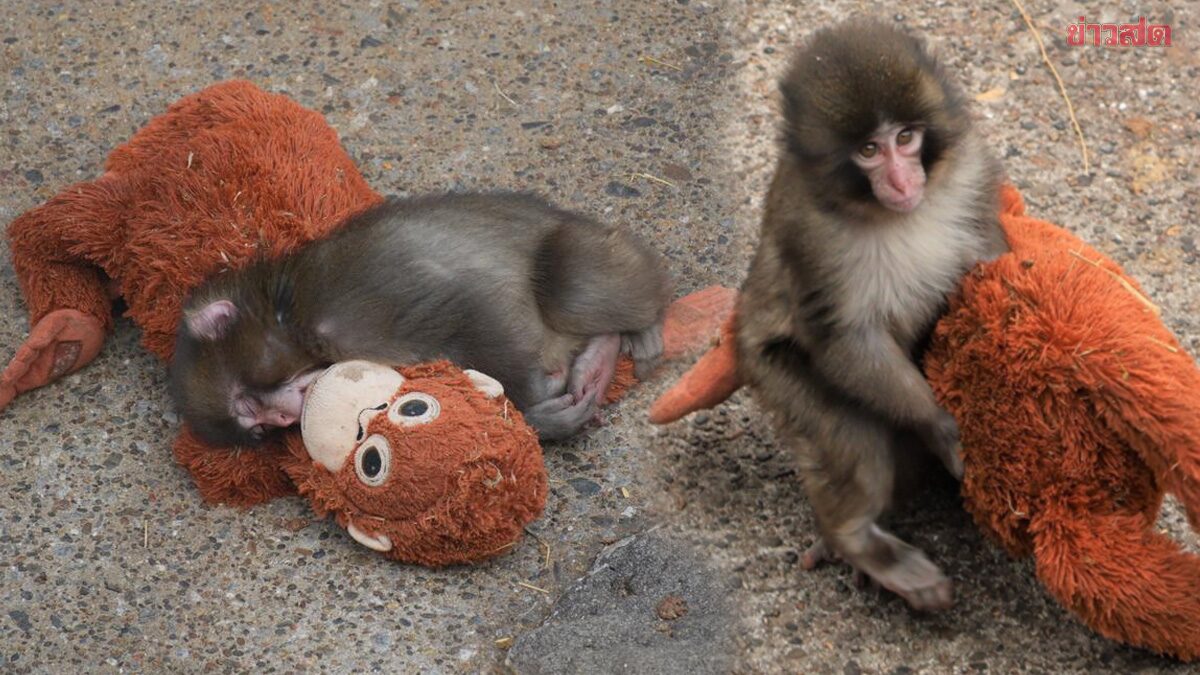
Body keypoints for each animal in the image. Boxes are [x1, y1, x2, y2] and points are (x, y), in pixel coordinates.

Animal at [169, 192, 670, 447]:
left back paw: (639, 326)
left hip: (588, 250)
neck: (289, 313)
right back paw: (598, 360)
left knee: (568, 285)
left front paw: (533, 405)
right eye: (260, 427)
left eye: (248, 405)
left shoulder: (351, 301)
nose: (283, 417)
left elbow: (470, 304)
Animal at [735, 19, 1008, 611]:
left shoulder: (971, 172)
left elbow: (992, 260)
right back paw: (857, 542)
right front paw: (940, 426)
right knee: (855, 441)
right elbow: (844, 338)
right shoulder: (809, 233)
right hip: (772, 372)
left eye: (905, 139)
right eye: (867, 150)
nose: (903, 182)